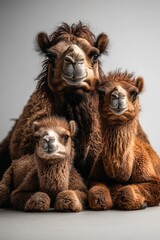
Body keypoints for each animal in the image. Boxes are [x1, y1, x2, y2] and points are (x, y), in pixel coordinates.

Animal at [88, 71, 160, 210]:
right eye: (101, 93)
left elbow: (126, 191)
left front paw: (141, 203)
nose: (117, 96)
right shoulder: (94, 177)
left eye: (134, 93)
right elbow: (96, 193)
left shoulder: (153, 179)